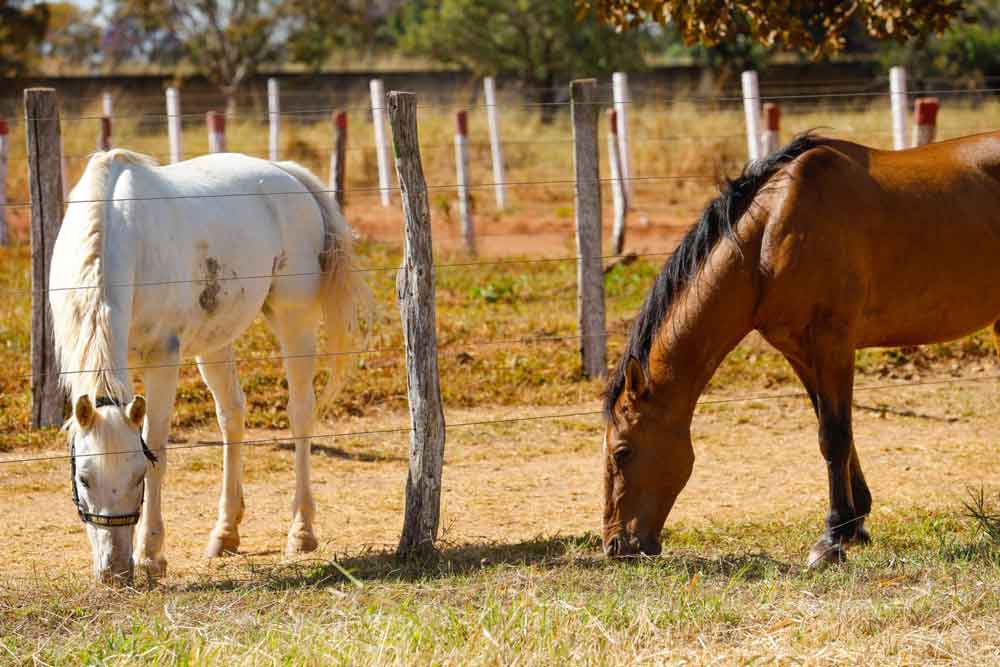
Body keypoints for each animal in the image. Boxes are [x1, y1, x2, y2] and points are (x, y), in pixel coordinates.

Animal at [51, 150, 372, 584]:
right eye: (84, 478)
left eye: (138, 475)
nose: (116, 571)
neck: (117, 230)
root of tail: (286, 172)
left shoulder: (162, 357)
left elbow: (157, 448)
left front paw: (150, 556)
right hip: (216, 343)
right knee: (231, 416)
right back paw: (226, 533)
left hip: (294, 319)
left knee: (301, 413)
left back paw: (301, 531)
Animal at [600, 132, 1000, 568]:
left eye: (622, 452)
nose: (616, 545)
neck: (772, 232)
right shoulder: (800, 351)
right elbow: (831, 426)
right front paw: (855, 524)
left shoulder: (833, 343)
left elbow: (834, 435)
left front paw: (832, 538)